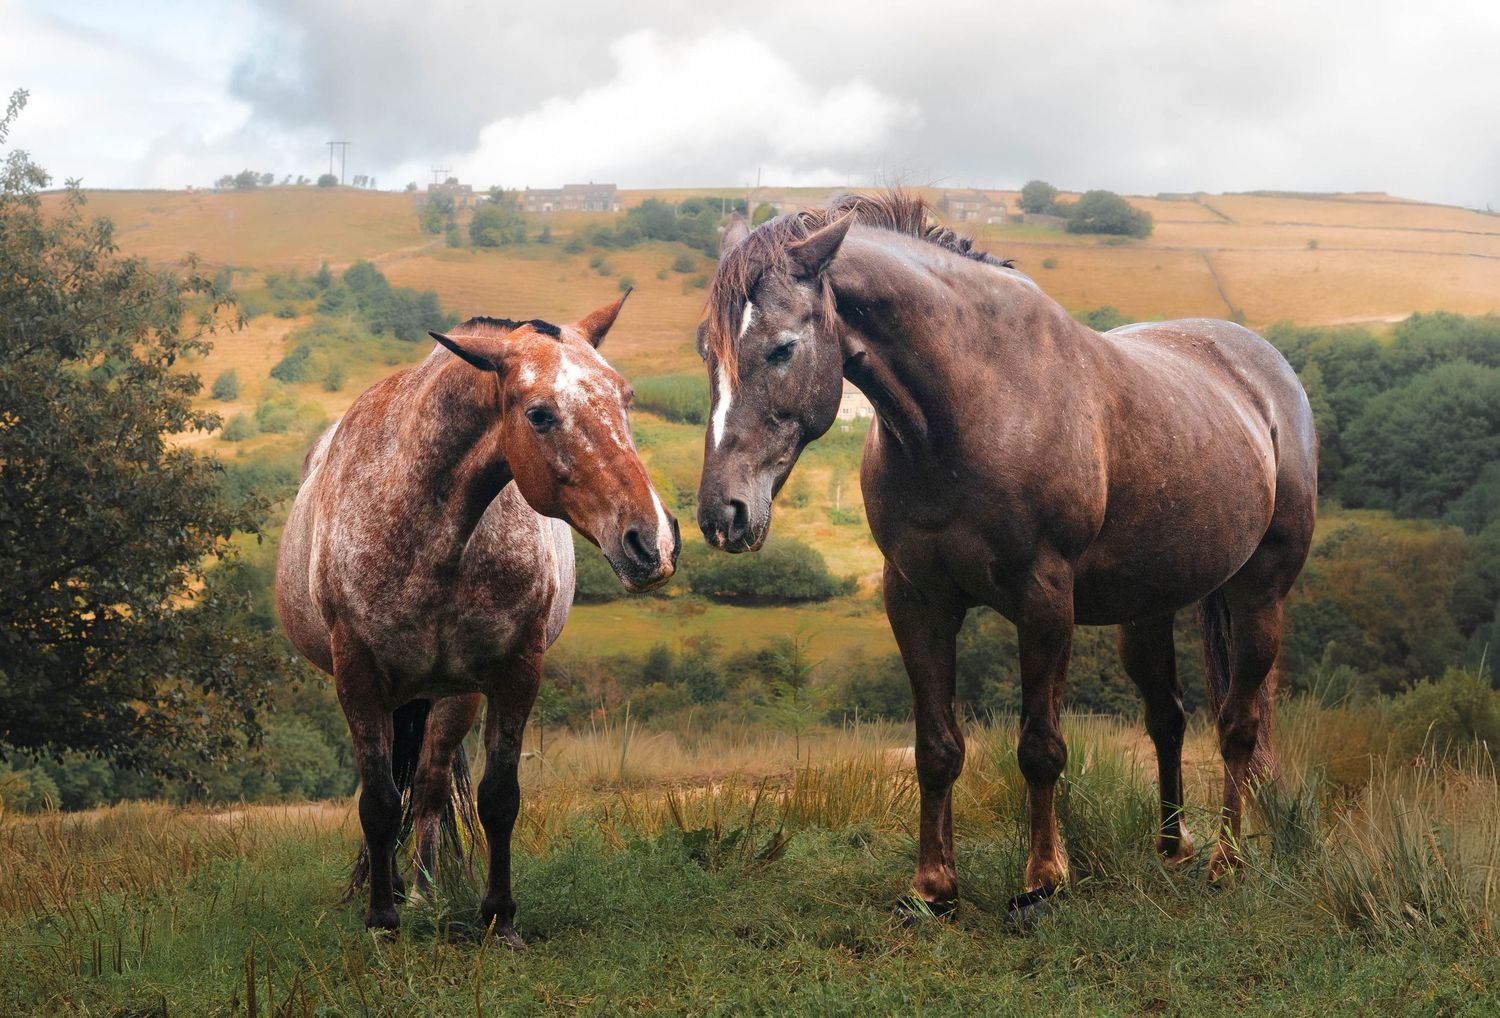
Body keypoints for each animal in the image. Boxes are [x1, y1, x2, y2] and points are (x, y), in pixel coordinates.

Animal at [275, 294, 680, 941]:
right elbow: (378, 801)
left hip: (450, 694)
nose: (654, 543)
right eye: (539, 414)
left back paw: (422, 890)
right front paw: (380, 919)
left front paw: (499, 917)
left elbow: (497, 798)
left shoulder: (514, 671)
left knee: (430, 782)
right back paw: (391, 889)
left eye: (626, 396)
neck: (433, 535)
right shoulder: (357, 676)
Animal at [695, 192, 1316, 918]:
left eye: (782, 348)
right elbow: (936, 747)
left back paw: (1227, 862)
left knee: (1239, 726)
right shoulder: (916, 599)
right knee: (1168, 718)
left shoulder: (1044, 599)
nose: (723, 513)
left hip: (1259, 594)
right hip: (1148, 610)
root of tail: (1265, 376)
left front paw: (1043, 881)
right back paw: (1172, 846)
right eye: (707, 349)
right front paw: (932, 887)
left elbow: (1040, 747)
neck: (973, 408)